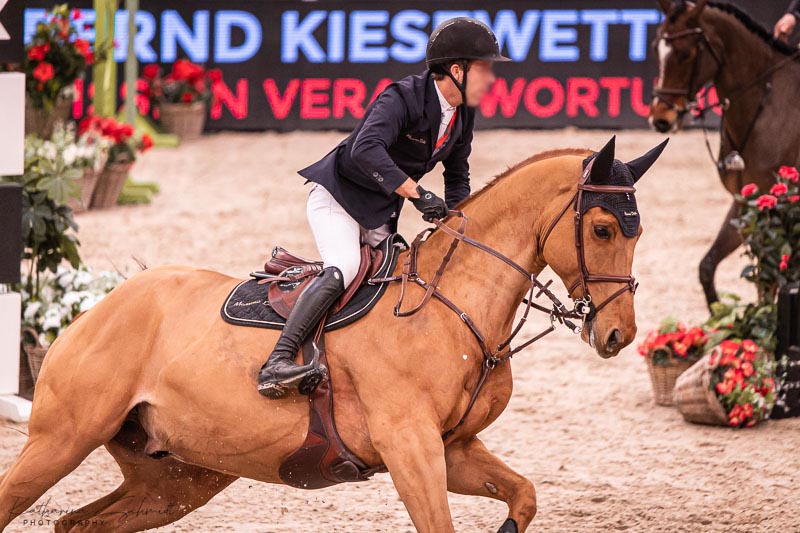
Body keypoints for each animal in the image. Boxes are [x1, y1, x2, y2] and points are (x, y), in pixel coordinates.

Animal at [0, 137, 664, 532]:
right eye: (603, 229)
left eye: (637, 231)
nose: (617, 334)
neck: (454, 306)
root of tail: (97, 309)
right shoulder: (410, 448)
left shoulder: (451, 449)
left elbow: (523, 496)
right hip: (62, 441)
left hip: (176, 478)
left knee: (79, 524)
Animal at [648, 0, 800, 308]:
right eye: (657, 48)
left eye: (685, 53)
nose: (661, 119)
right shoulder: (745, 201)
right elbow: (707, 266)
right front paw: (718, 314)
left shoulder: (775, 205)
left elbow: (768, 280)